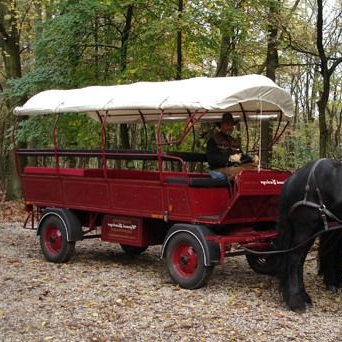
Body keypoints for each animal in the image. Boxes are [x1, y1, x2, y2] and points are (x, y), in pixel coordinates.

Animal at [276, 159, 342, 312]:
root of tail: (292, 178)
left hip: (313, 229)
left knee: (300, 260)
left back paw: (303, 295)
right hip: (305, 227)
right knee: (294, 259)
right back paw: (295, 300)